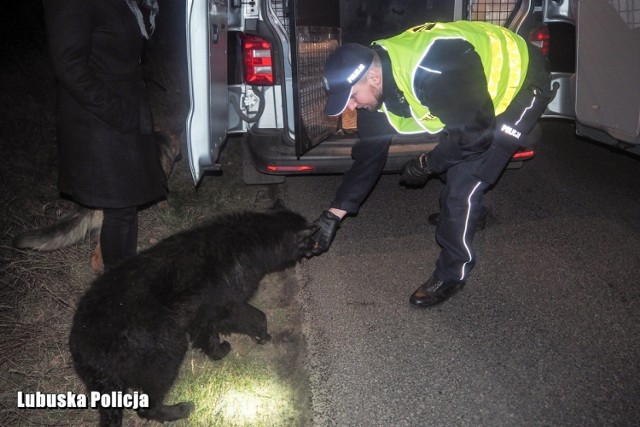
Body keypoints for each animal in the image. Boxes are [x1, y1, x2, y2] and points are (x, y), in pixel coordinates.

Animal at [69, 209, 316, 426]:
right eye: (310, 239)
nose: (318, 238)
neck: (251, 237)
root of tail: (87, 351)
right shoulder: (226, 304)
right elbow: (256, 316)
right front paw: (258, 335)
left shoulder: (203, 312)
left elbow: (207, 333)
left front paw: (216, 351)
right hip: (165, 350)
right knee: (147, 405)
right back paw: (177, 410)